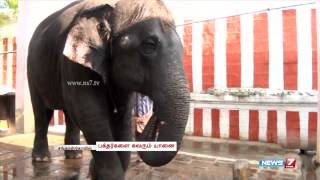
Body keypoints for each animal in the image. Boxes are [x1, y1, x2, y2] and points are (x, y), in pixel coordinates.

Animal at [26, 0, 190, 179]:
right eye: (149, 46)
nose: (153, 114)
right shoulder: (74, 62)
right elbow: (91, 113)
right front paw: (105, 173)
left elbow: (123, 116)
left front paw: (95, 170)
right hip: (32, 72)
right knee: (42, 113)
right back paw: (41, 159)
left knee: (70, 115)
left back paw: (75, 155)